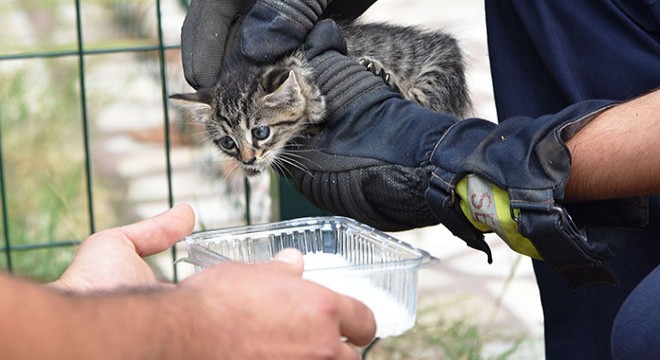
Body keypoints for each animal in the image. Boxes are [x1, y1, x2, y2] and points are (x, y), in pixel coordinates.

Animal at [170, 20, 470, 176]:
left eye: (261, 132)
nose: (248, 161)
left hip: (440, 66)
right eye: (228, 143)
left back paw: (385, 75)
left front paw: (311, 100)